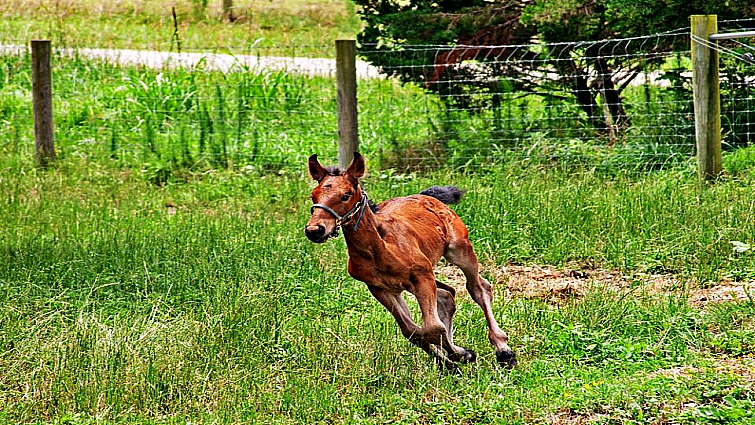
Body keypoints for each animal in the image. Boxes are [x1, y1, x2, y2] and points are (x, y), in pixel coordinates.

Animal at [304, 152, 517, 370]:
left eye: (345, 195)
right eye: (314, 196)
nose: (315, 230)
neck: (378, 249)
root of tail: (427, 195)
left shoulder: (421, 275)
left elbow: (433, 328)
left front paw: (460, 355)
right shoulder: (381, 288)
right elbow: (412, 331)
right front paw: (453, 360)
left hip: (459, 250)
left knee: (479, 288)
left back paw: (504, 351)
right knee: (446, 295)